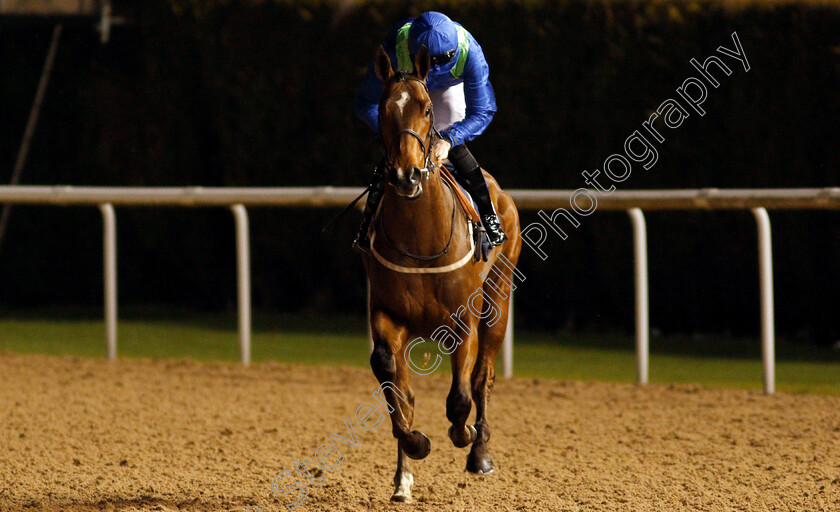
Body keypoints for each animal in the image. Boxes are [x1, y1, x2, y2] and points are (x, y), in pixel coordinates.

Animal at [364, 47, 520, 504]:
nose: (406, 174)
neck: (421, 237)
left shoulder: (463, 319)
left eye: (427, 108)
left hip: (498, 296)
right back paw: (403, 479)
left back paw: (480, 452)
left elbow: (460, 398)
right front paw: (412, 452)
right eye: (383, 110)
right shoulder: (387, 314)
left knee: (483, 377)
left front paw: (464, 435)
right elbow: (395, 384)